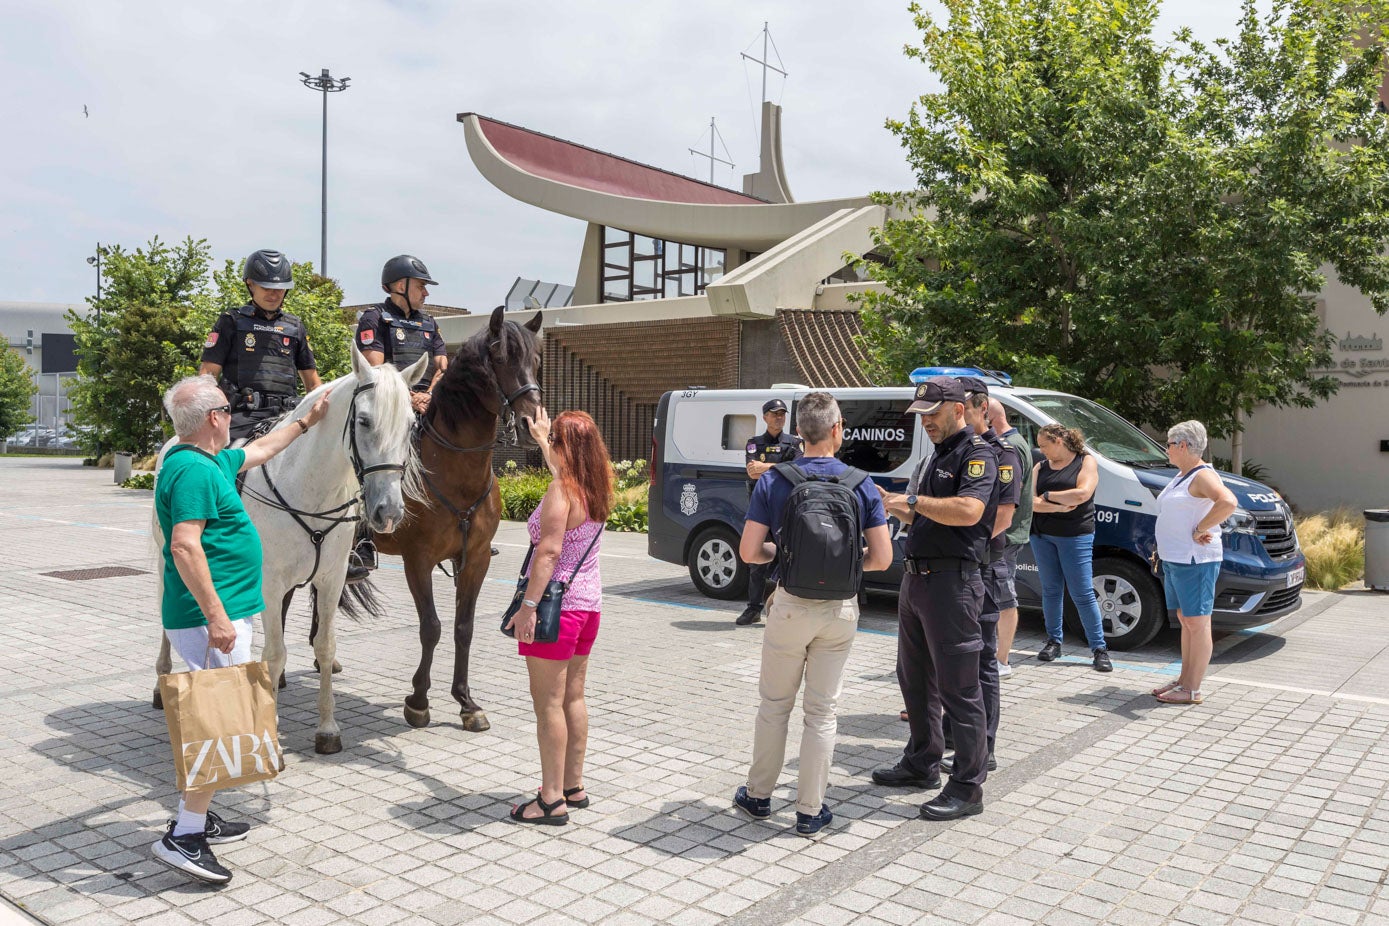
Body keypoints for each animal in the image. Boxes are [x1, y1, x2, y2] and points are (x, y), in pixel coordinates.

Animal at [149, 344, 425, 755]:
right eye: (363, 421)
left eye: (411, 426)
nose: (388, 511)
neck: (310, 486)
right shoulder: (270, 582)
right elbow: (275, 652)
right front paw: (270, 733)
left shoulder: (330, 580)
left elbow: (324, 646)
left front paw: (327, 729)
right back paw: (161, 682)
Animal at [372, 308, 544, 733]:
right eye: (500, 359)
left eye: (536, 361)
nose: (533, 424)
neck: (455, 473)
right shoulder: (417, 560)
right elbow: (431, 627)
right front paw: (418, 700)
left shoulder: (476, 559)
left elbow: (463, 628)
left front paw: (466, 702)